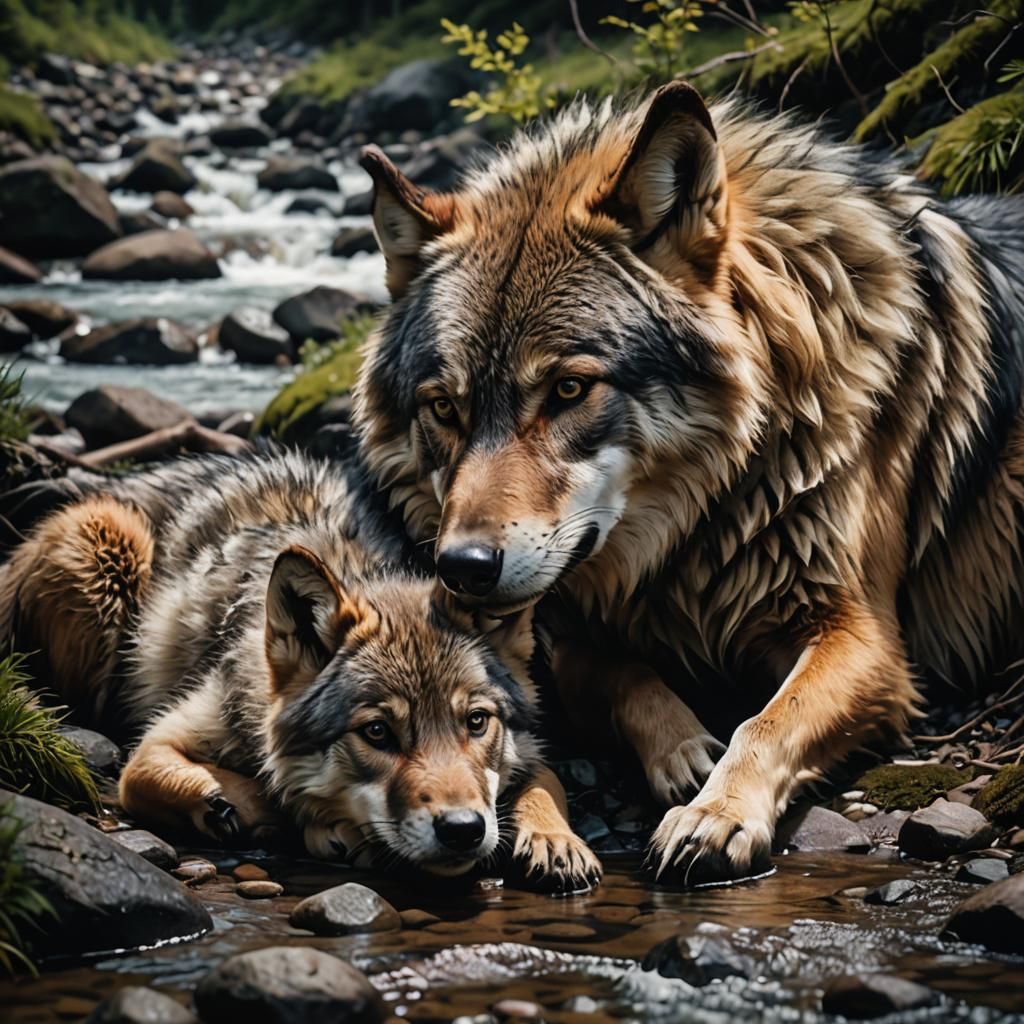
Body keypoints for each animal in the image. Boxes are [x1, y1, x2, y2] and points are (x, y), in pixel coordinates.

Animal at [0, 451, 601, 889]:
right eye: (377, 733)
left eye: (476, 723)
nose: (462, 831)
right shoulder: (157, 742)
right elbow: (181, 777)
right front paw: (300, 819)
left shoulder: (529, 749)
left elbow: (545, 780)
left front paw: (556, 840)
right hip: (107, 544)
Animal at [353, 81, 1024, 884]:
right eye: (445, 407)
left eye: (570, 389)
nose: (463, 568)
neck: (695, 532)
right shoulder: (557, 631)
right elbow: (613, 673)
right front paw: (674, 750)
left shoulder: (867, 640)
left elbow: (768, 720)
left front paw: (716, 812)